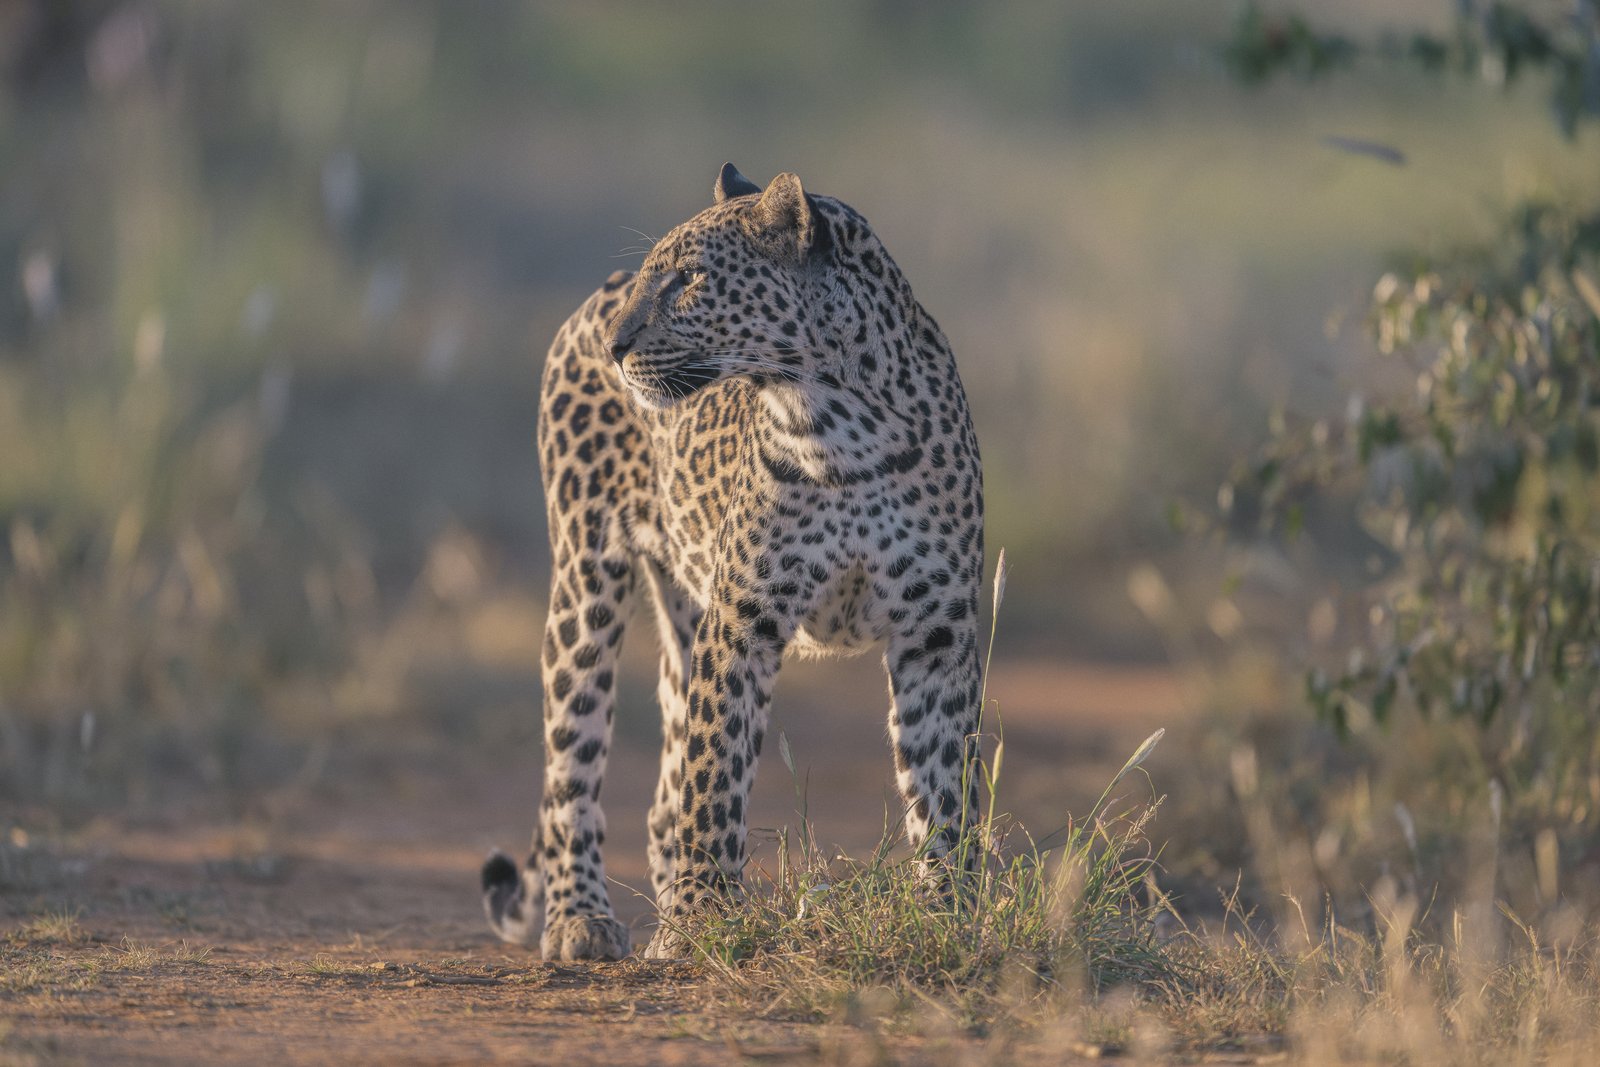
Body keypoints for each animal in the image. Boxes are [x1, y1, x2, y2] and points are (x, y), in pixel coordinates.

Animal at [481, 164, 985, 961]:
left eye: (689, 279)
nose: (617, 348)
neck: (839, 426)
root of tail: (594, 298)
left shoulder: (936, 631)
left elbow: (943, 785)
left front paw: (950, 912)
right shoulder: (742, 622)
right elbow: (715, 773)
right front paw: (700, 919)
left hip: (686, 614)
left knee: (663, 796)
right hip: (587, 581)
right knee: (574, 768)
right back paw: (580, 918)